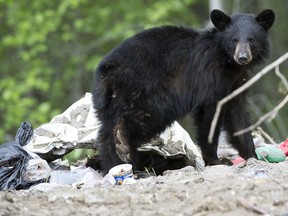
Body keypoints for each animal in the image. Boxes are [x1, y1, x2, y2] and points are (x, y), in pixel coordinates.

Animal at [92, 9, 274, 174]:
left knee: (108, 130)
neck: (229, 65)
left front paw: (253, 156)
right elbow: (208, 115)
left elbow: (237, 117)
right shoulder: (208, 77)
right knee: (132, 122)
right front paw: (216, 160)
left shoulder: (236, 85)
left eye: (251, 40)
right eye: (234, 40)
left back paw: (119, 163)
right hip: (146, 92)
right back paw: (123, 150)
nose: (242, 57)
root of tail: (104, 71)